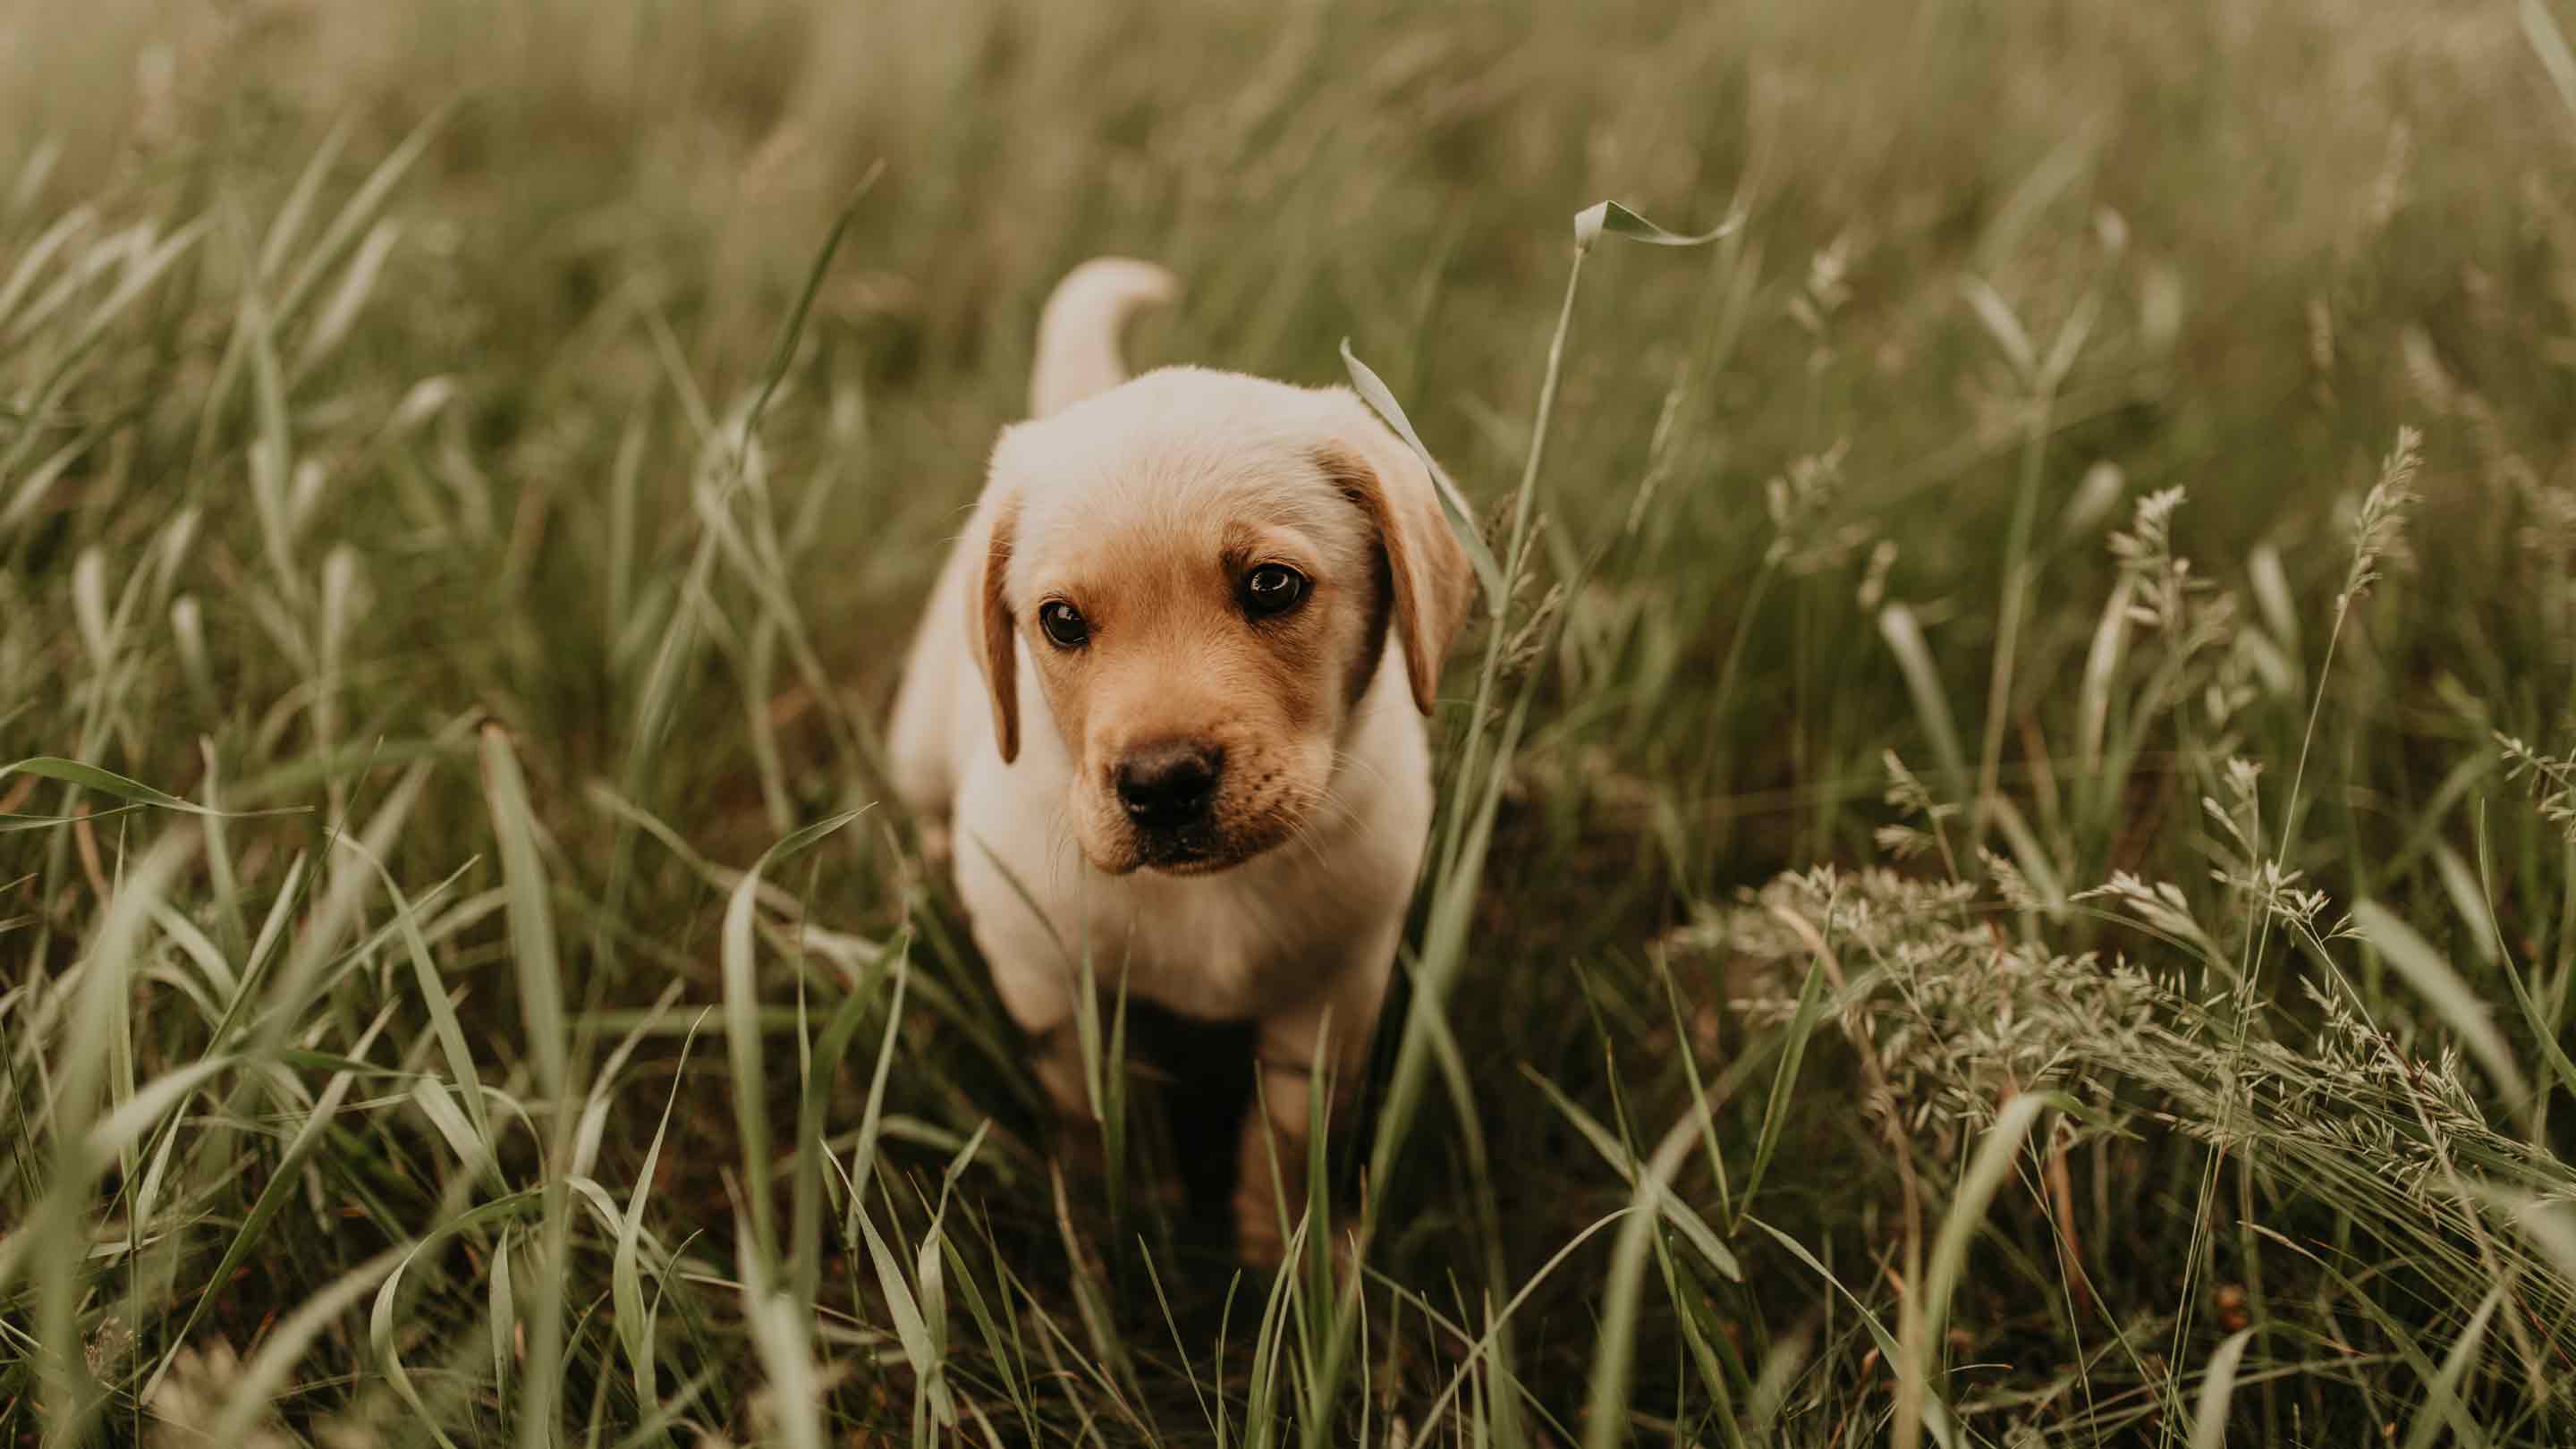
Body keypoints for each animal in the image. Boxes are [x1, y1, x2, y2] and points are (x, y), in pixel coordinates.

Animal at [891, 256, 1473, 1252]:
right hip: (923, 738)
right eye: (1061, 621)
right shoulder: (1050, 984)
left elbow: (1288, 1139)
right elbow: (1095, 1117)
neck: (1209, 897)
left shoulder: (1334, 992)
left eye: (1272, 586)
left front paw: (1286, 1252)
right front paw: (1125, 1231)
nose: (1161, 785)